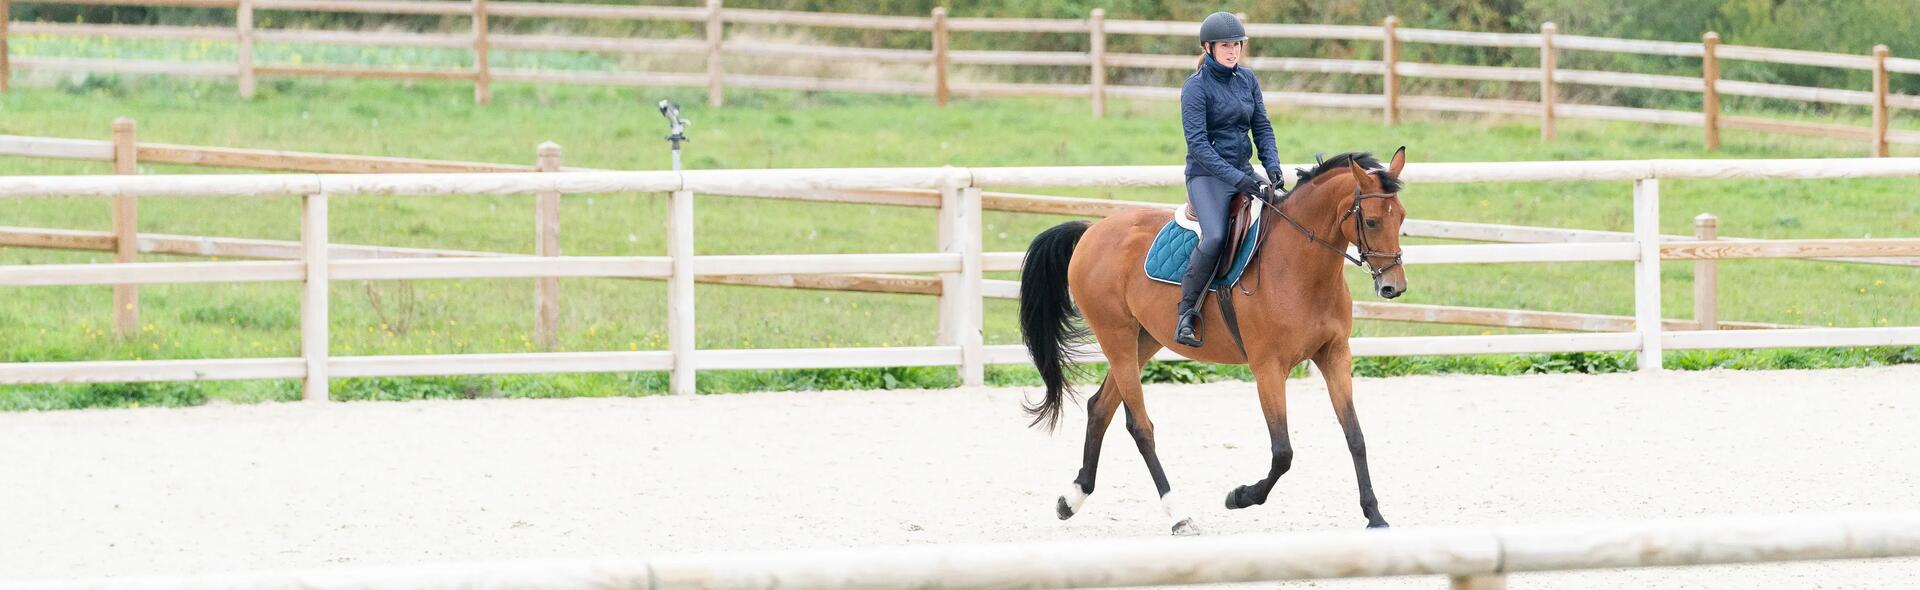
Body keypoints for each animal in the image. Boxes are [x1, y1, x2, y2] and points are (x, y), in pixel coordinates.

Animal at [1021, 148, 1413, 538]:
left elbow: (1355, 436)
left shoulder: (1335, 356)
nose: (1393, 287)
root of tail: (1092, 230)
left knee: (1100, 407)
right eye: (1372, 221)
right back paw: (1178, 515)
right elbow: (1282, 452)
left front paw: (1374, 514)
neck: (1298, 265)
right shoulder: (1268, 368)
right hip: (1115, 337)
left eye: (1402, 217)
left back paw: (1072, 499)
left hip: (1142, 341)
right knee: (1140, 427)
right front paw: (1240, 497)